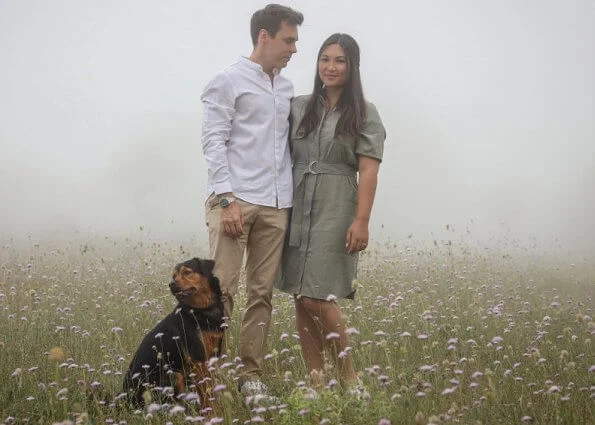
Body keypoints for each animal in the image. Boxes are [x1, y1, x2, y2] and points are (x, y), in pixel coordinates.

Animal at [122, 255, 225, 408]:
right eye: (174, 276)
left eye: (187, 272)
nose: (171, 284)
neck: (201, 309)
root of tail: (124, 398)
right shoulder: (198, 361)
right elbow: (206, 395)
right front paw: (212, 411)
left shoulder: (212, 356)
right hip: (172, 375)